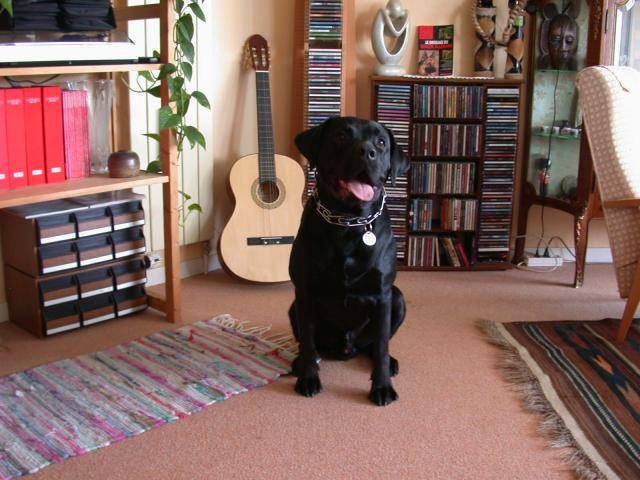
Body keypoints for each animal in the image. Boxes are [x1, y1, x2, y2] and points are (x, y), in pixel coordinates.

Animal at [289, 116, 409, 406]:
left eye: (381, 142)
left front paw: (382, 387)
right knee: (310, 344)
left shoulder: (383, 295)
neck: (348, 222)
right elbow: (307, 341)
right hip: (293, 307)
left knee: (375, 346)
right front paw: (308, 377)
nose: (367, 151)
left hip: (398, 298)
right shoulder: (304, 291)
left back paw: (390, 363)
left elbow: (381, 346)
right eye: (341, 137)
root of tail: (346, 348)